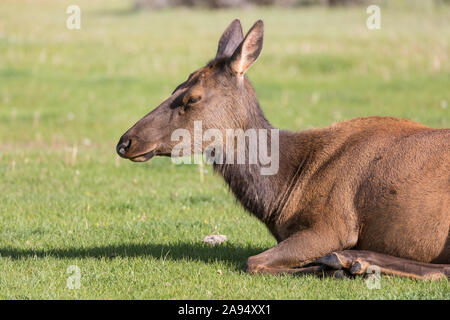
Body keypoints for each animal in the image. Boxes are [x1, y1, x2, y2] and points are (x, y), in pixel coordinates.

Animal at [117, 19, 450, 278]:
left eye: (192, 98)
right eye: (175, 88)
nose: (125, 142)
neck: (282, 195)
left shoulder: (335, 224)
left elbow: (253, 262)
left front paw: (330, 265)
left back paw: (350, 261)